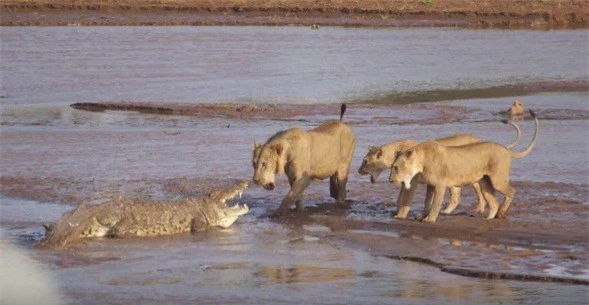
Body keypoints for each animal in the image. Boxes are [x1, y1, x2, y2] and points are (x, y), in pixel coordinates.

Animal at [358, 120, 520, 217]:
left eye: (365, 161)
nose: (358, 171)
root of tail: (478, 139)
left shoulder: (411, 182)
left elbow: (403, 198)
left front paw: (399, 214)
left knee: (479, 192)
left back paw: (480, 209)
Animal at [390, 110, 536, 222]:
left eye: (396, 167)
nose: (390, 180)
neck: (421, 162)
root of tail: (504, 149)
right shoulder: (430, 185)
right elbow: (427, 202)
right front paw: (422, 216)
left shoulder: (440, 184)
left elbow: (434, 203)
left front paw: (428, 219)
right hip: (485, 182)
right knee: (493, 201)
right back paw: (489, 218)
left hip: (497, 180)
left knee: (511, 191)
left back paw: (501, 213)